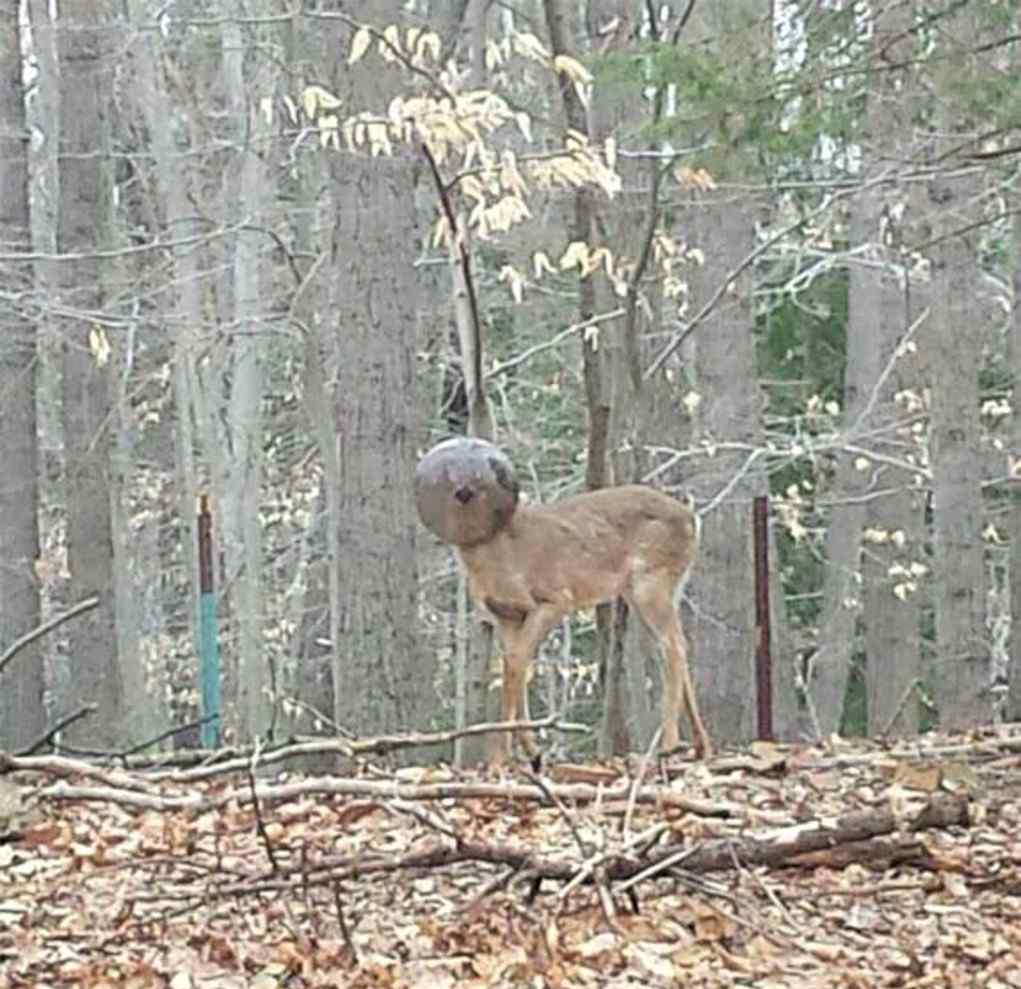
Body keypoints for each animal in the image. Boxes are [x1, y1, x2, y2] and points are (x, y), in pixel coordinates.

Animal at [412, 440, 710, 763]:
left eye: (483, 475)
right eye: (450, 474)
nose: (465, 490)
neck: (500, 556)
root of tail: (692, 519)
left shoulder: (554, 599)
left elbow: (516, 663)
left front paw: (505, 756)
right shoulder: (507, 616)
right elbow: (515, 665)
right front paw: (527, 752)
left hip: (650, 582)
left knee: (674, 646)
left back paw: (669, 745)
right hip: (658, 588)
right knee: (673, 645)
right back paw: (700, 746)